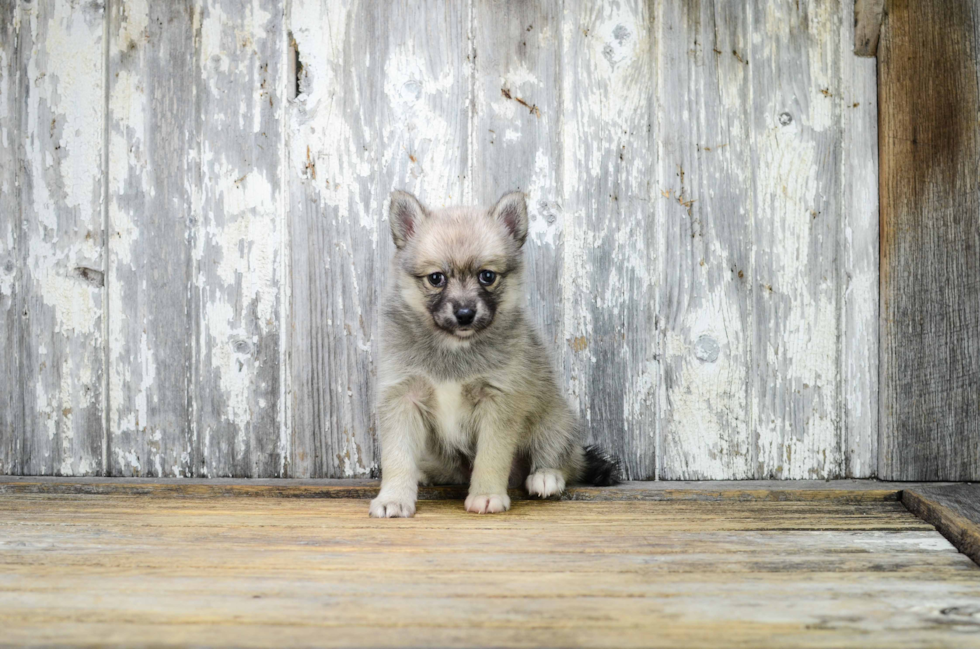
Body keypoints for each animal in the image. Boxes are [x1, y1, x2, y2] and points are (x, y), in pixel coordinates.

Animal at [370, 189, 620, 516]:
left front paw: (487, 495)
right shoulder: (403, 398)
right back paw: (426, 473)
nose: (465, 314)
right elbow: (397, 457)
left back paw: (545, 476)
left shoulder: (497, 404)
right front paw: (394, 498)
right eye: (436, 278)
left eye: (487, 276)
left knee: (565, 459)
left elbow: (491, 457)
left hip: (555, 421)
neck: (454, 347)